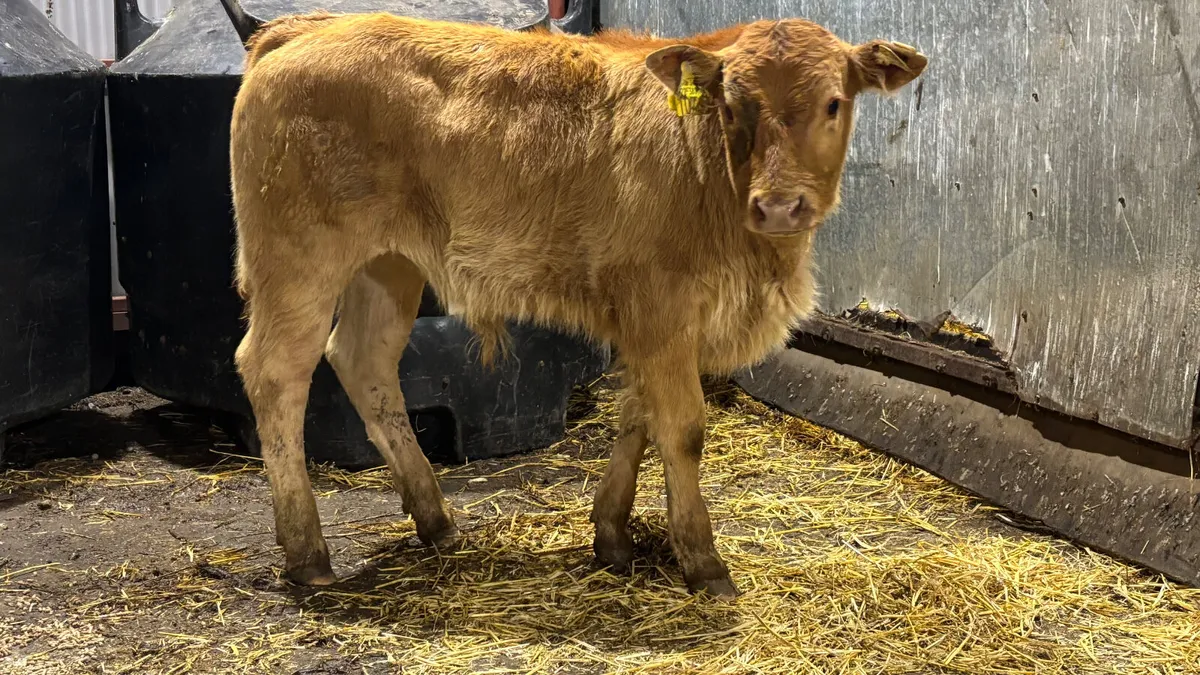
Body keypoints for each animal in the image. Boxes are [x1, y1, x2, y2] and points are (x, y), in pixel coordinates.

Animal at [216, 0, 926, 598]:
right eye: (731, 104)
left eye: (834, 103)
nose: (779, 206)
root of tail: (303, 28)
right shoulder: (662, 308)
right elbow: (682, 427)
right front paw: (701, 560)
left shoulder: (651, 319)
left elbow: (640, 415)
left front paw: (611, 535)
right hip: (298, 260)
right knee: (275, 372)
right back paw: (307, 553)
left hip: (387, 264)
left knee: (364, 363)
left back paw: (435, 519)